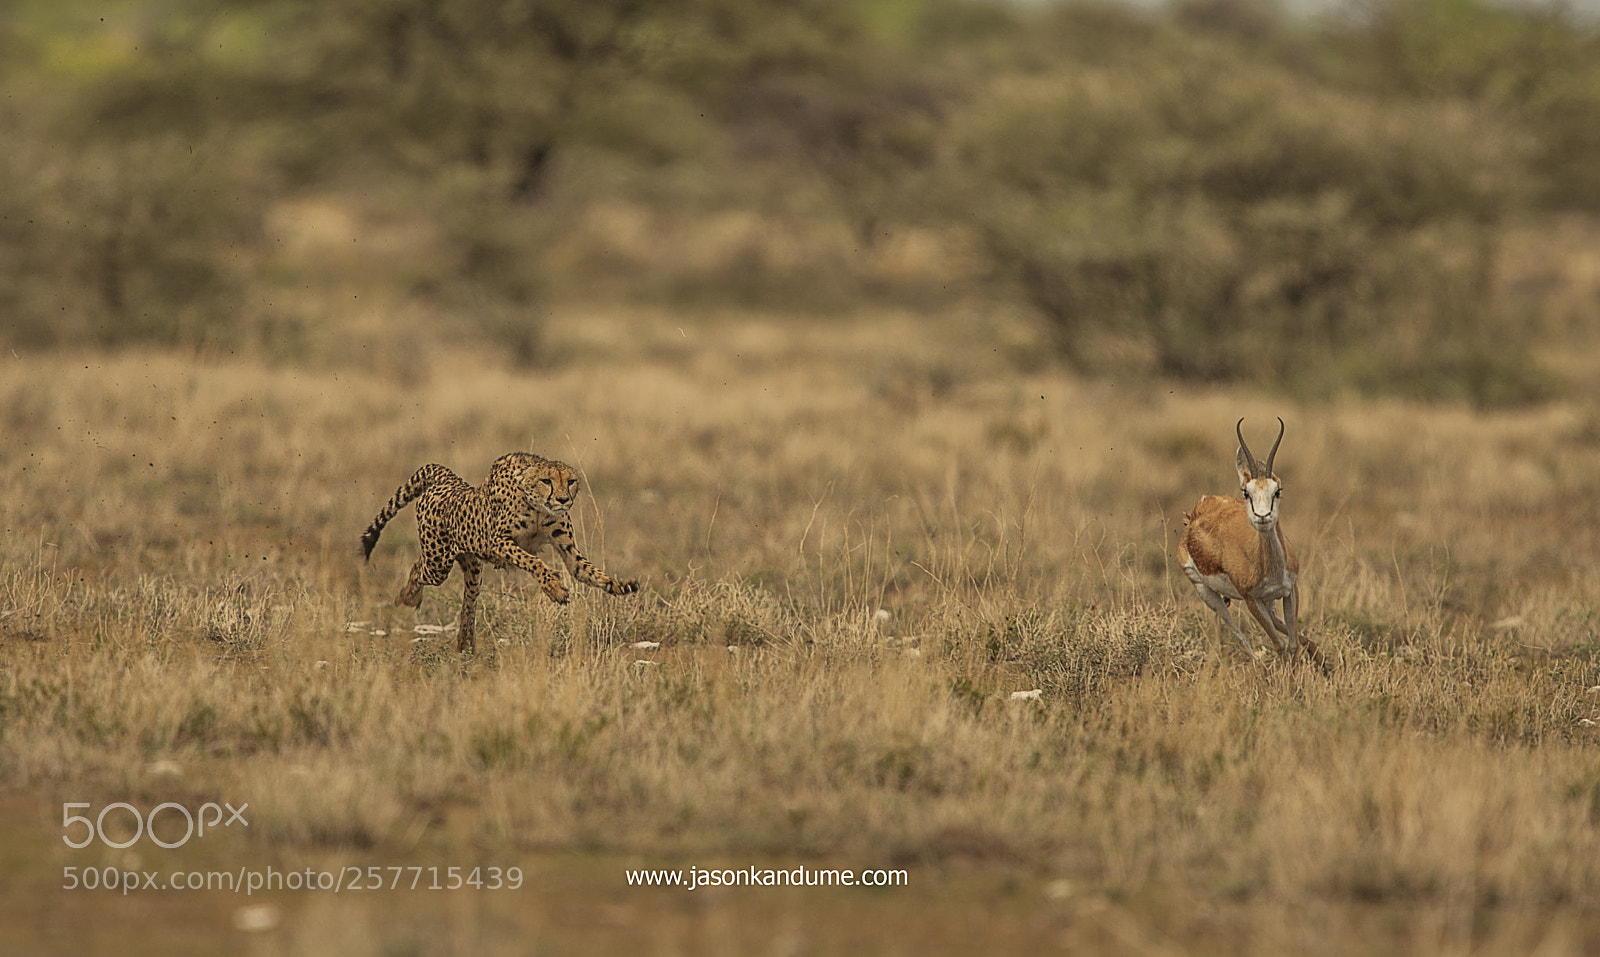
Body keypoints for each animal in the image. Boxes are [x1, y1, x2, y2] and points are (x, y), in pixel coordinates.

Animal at [360, 452, 638, 652]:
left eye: (570, 482)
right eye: (547, 481)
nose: (562, 499)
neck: (538, 507)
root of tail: (447, 478)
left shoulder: (568, 551)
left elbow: (588, 571)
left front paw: (621, 585)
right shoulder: (497, 542)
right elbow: (533, 561)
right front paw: (554, 588)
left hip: (472, 568)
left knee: (468, 601)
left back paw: (465, 643)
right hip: (438, 561)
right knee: (419, 567)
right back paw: (408, 597)